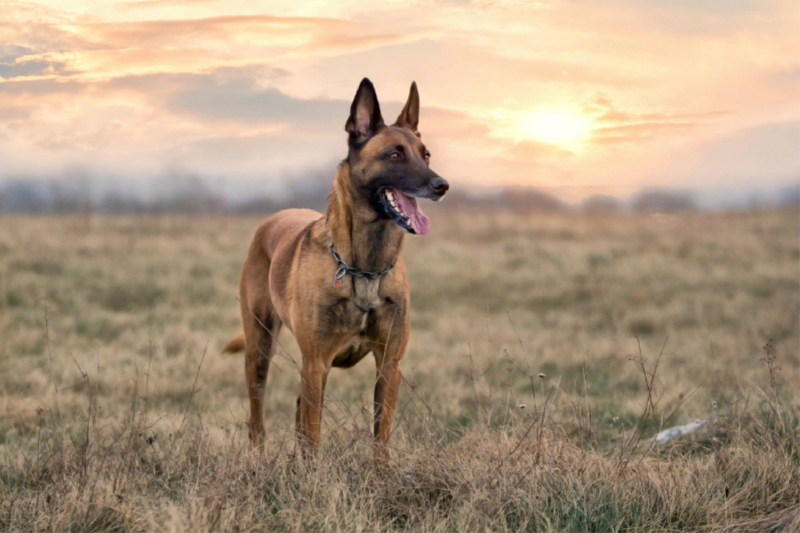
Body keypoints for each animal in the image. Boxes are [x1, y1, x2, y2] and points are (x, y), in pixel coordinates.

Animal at [223, 79, 450, 458]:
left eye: (426, 155)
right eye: (394, 155)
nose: (441, 186)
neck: (364, 268)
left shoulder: (389, 366)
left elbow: (381, 437)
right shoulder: (316, 364)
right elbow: (313, 437)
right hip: (260, 347)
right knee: (257, 416)